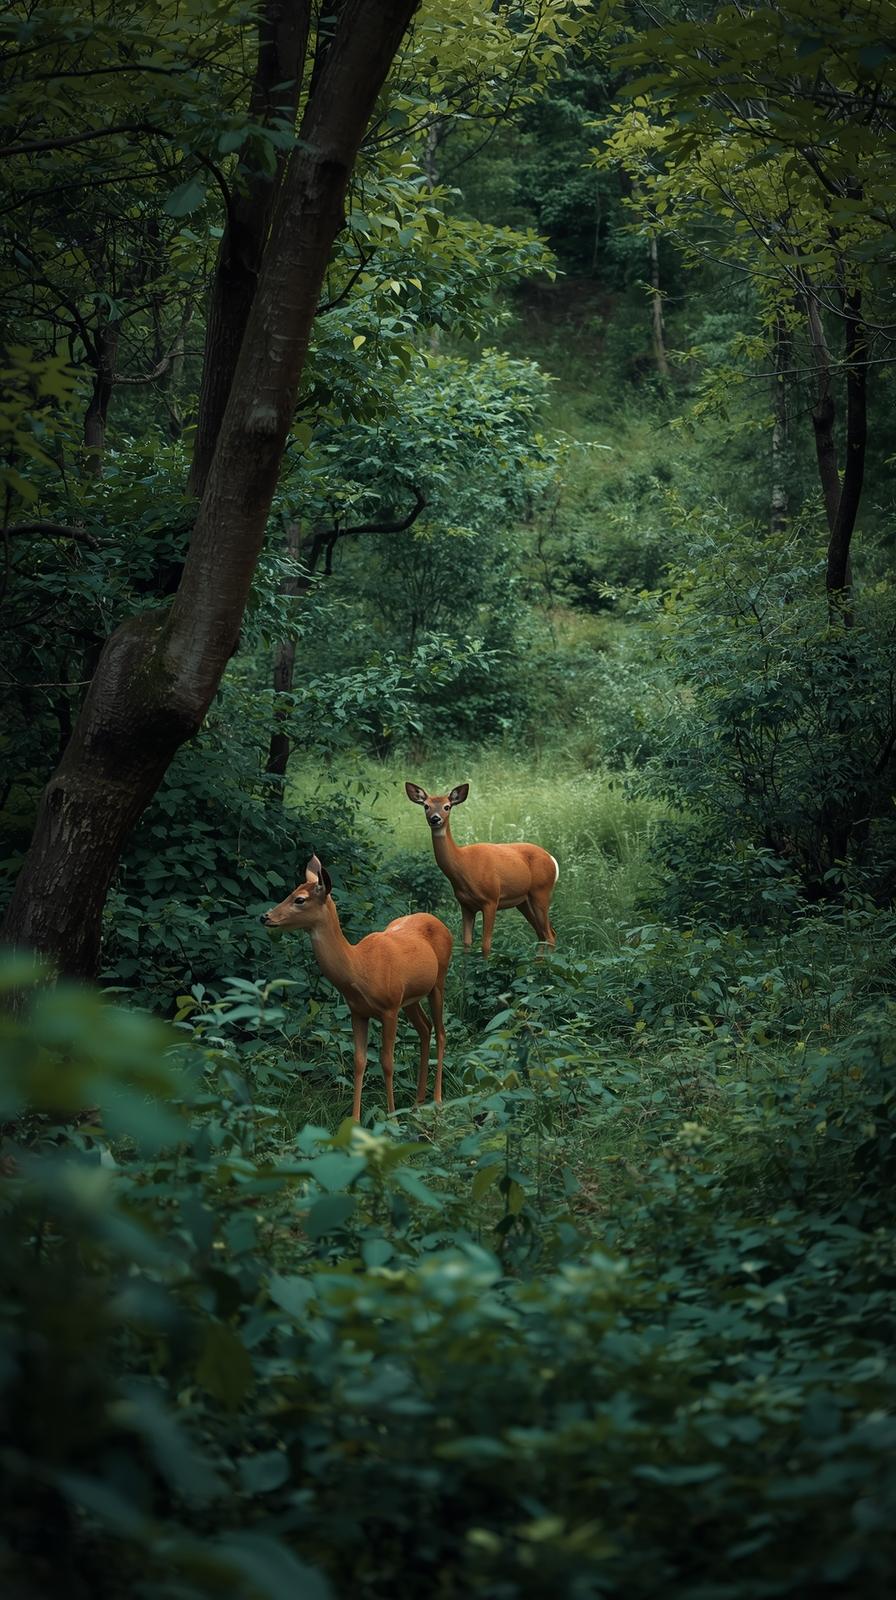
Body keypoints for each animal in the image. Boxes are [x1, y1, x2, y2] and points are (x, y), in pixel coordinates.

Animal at [261, 855, 452, 1122]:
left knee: (441, 1031)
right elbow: (359, 1061)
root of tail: (440, 923)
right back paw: (417, 1103)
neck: (360, 970)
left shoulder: (389, 1008)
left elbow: (387, 1062)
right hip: (411, 998)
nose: (265, 916)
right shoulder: (358, 1012)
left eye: (300, 899)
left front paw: (392, 1117)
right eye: (291, 892)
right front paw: (355, 1120)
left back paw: (437, 1101)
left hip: (439, 981)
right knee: (425, 1028)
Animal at [405, 781, 559, 957]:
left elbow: (486, 945)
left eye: (447, 806)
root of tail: (551, 859)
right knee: (543, 933)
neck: (464, 864)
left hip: (541, 890)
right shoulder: (465, 904)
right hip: (523, 900)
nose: (435, 818)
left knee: (549, 934)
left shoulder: (491, 899)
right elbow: (466, 944)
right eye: (426, 806)